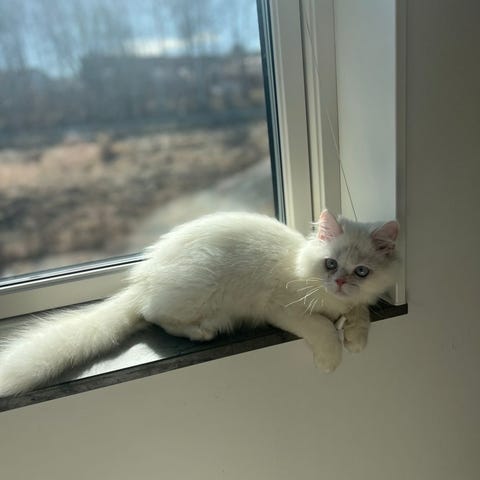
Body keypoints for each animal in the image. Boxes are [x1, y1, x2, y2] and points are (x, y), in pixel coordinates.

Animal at [0, 210, 399, 396]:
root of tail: (142, 279)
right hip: (202, 286)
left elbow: (359, 310)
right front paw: (332, 358)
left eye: (361, 272)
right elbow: (321, 327)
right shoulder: (281, 307)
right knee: (153, 315)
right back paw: (201, 332)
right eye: (330, 264)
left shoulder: (357, 300)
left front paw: (356, 339)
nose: (340, 282)